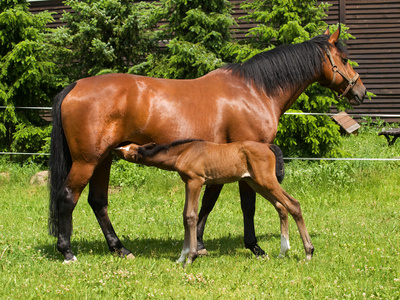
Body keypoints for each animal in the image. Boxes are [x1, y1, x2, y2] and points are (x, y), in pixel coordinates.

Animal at [114, 139, 314, 266]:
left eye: (129, 150)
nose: (115, 148)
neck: (183, 152)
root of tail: (268, 146)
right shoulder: (188, 183)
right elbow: (185, 216)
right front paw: (181, 258)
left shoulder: (196, 181)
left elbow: (191, 216)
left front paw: (190, 258)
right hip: (256, 183)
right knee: (281, 207)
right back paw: (283, 252)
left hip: (266, 181)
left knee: (293, 204)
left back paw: (308, 253)